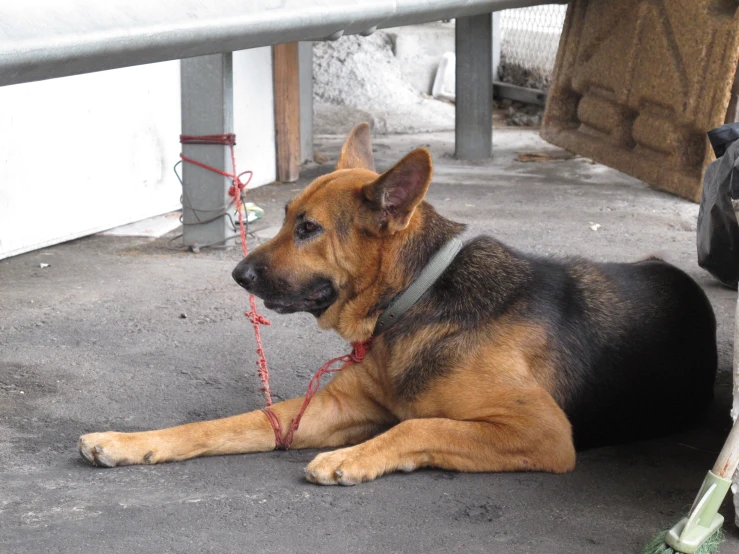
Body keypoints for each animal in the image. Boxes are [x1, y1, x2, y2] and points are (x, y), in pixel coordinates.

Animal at [79, 124, 716, 484]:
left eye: (308, 229)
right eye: (285, 219)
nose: (237, 275)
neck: (414, 303)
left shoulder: (542, 431)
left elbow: (420, 424)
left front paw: (356, 456)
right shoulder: (329, 409)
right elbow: (229, 424)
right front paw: (130, 443)